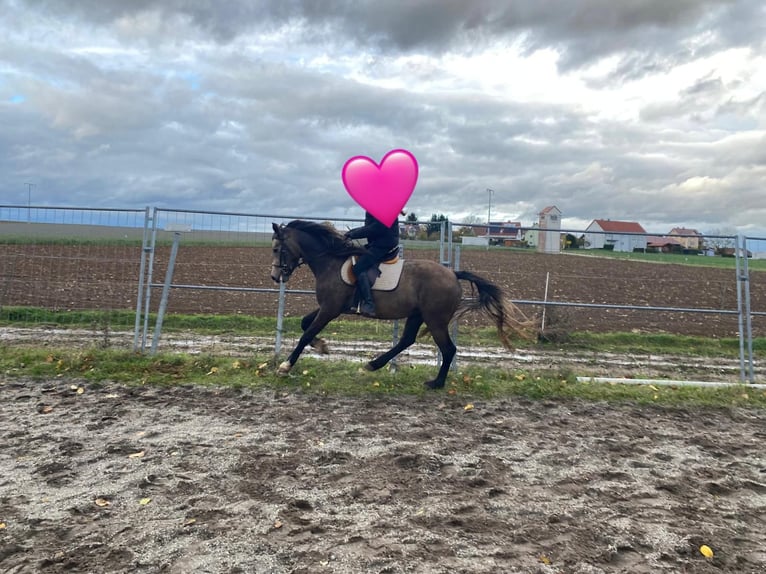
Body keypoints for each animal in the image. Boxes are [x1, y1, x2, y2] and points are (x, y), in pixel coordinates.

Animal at [270, 220, 533, 389]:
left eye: (276, 248)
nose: (275, 276)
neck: (330, 261)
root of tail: (453, 274)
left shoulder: (330, 309)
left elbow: (306, 333)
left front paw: (285, 366)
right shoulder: (331, 306)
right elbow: (305, 324)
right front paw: (322, 346)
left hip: (435, 320)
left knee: (448, 349)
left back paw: (436, 383)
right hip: (417, 314)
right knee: (407, 340)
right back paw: (373, 365)